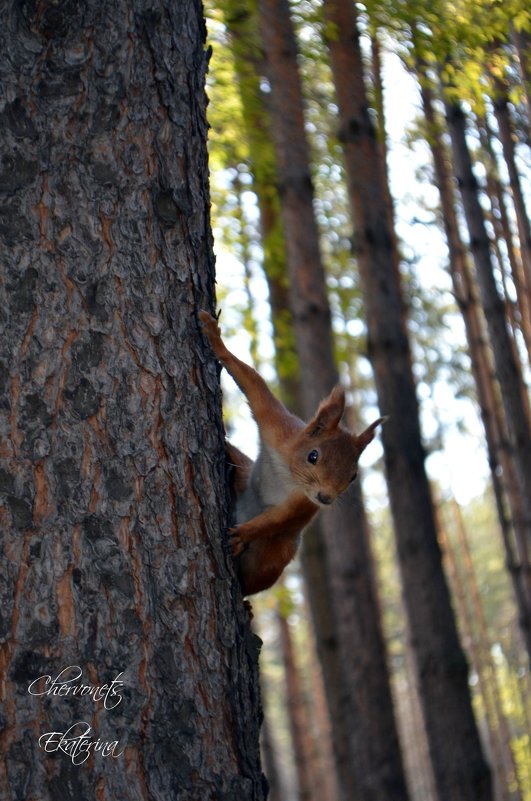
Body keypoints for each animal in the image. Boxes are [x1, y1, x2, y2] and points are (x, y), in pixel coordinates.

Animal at [201, 310, 386, 596]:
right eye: (313, 456)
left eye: (353, 476)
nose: (326, 498)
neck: (288, 473)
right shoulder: (276, 427)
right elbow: (252, 382)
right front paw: (215, 338)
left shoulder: (302, 503)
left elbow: (277, 520)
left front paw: (243, 534)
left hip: (275, 556)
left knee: (252, 583)